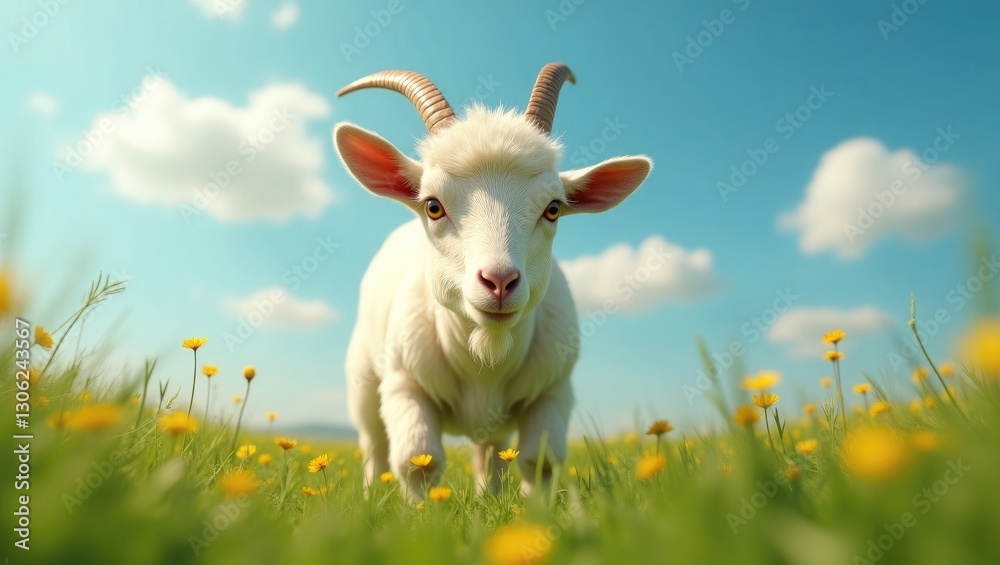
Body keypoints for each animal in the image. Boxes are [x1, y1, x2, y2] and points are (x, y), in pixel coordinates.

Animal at [333, 63, 652, 498]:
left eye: (553, 209)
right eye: (433, 206)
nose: (499, 281)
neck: (483, 359)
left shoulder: (554, 391)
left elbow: (540, 462)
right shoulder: (405, 383)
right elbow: (418, 460)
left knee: (493, 451)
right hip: (364, 383)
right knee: (373, 448)